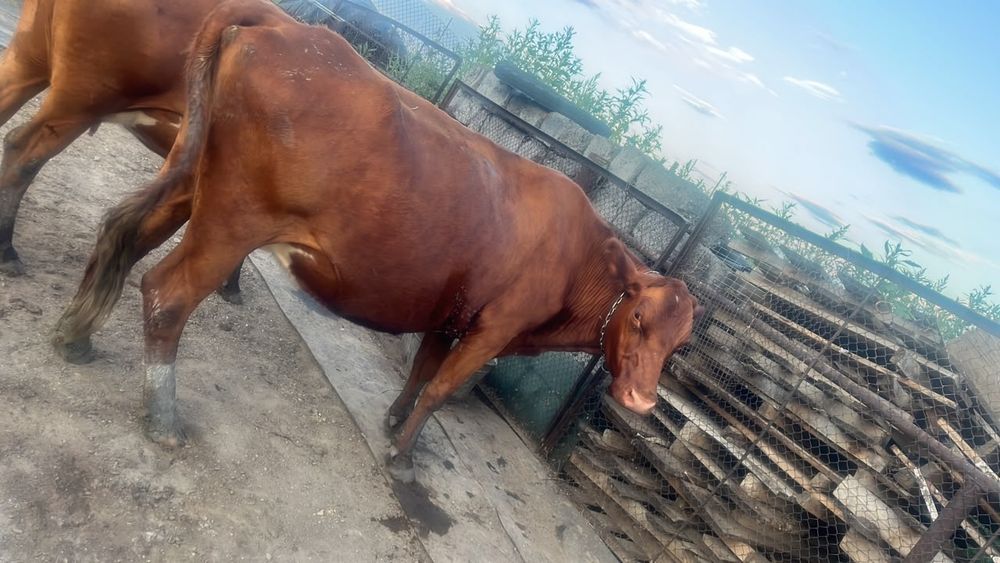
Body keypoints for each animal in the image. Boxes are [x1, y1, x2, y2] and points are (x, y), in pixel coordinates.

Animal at [53, 0, 703, 483]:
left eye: (679, 342)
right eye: (639, 317)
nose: (641, 401)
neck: (580, 257)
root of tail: (289, 26)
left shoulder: (454, 312)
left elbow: (420, 371)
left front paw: (392, 421)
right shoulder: (495, 327)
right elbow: (440, 389)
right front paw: (403, 457)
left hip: (187, 181)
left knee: (122, 231)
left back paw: (74, 336)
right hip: (231, 221)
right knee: (167, 294)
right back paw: (162, 419)